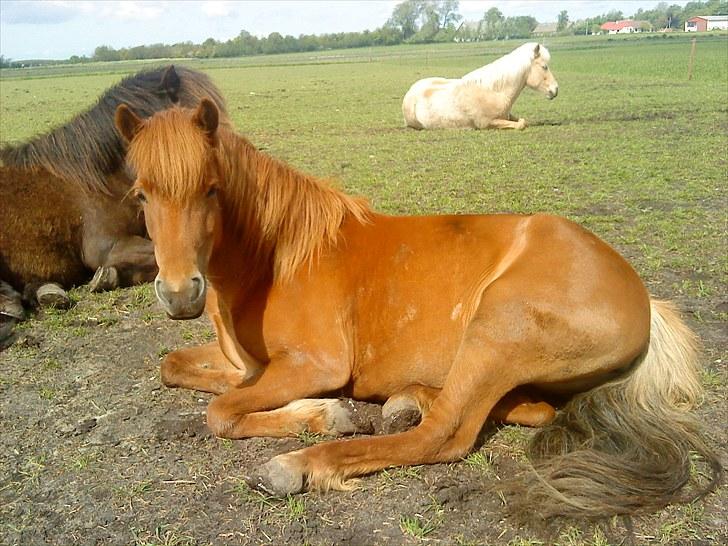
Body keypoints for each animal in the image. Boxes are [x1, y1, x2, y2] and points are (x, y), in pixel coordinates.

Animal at [116, 99, 720, 520]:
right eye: (141, 195)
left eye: (211, 189)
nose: (180, 294)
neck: (278, 258)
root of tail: (643, 297)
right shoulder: (245, 365)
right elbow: (176, 368)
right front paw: (320, 412)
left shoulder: (316, 364)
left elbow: (221, 412)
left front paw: (323, 415)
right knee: (527, 409)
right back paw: (405, 401)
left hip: (497, 326)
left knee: (445, 434)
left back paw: (298, 467)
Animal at [400, 42, 560, 130]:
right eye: (544, 67)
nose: (555, 89)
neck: (494, 92)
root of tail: (410, 91)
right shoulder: (487, 123)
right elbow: (521, 124)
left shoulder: (507, 115)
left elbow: (522, 120)